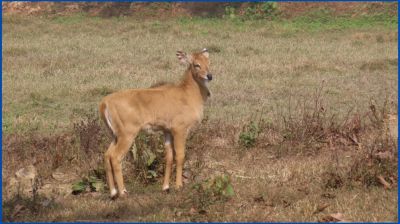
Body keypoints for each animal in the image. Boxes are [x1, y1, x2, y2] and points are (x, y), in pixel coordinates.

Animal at [99, 48, 212, 199]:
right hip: (127, 132)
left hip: (114, 134)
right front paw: (179, 186)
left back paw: (113, 192)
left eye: (209, 62)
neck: (189, 95)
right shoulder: (180, 128)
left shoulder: (167, 130)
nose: (209, 76)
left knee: (107, 155)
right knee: (115, 157)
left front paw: (165, 187)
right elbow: (180, 156)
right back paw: (123, 192)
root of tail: (104, 103)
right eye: (196, 64)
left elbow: (168, 157)